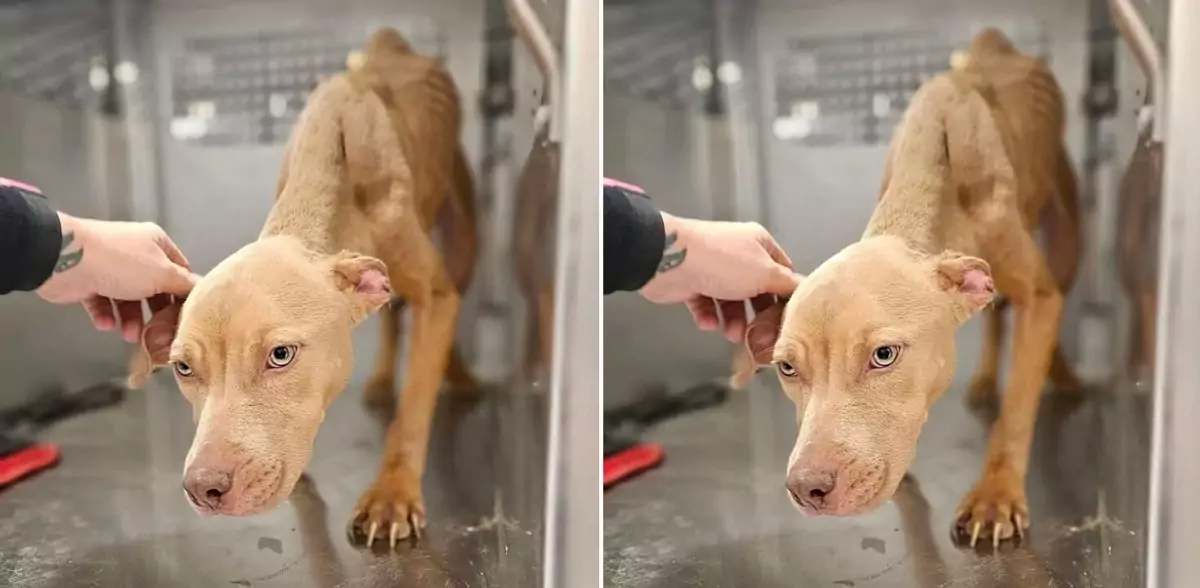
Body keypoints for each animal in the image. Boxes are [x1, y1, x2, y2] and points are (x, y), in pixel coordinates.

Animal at [123, 28, 477, 552]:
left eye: (281, 355)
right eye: (183, 368)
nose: (203, 488)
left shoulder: (435, 295)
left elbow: (413, 407)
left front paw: (392, 495)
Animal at [724, 29, 1084, 549]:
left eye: (884, 355)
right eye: (787, 368)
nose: (806, 488)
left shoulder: (1039, 295)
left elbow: (1017, 408)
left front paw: (995, 496)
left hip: (1067, 229)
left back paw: (1062, 372)